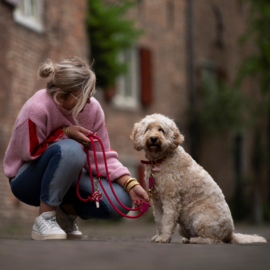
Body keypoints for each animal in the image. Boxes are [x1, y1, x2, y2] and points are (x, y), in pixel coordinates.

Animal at [130, 113, 266, 244]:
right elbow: (159, 221)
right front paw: (159, 236)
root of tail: (230, 233)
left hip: (201, 220)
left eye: (161, 130)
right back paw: (188, 239)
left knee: (215, 240)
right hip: (183, 227)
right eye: (148, 129)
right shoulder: (157, 201)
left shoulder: (171, 199)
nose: (153, 138)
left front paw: (164, 238)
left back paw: (196, 240)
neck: (159, 161)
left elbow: (167, 220)